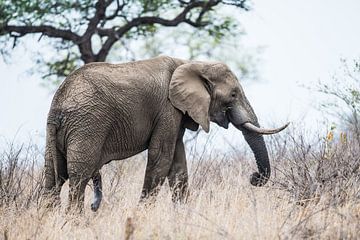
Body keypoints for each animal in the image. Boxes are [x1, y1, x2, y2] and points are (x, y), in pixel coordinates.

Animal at [43, 55, 290, 212]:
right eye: (233, 94)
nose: (253, 177)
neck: (192, 64)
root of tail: (58, 105)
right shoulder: (167, 108)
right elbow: (161, 157)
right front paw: (142, 215)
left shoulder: (177, 112)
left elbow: (178, 165)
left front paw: (184, 216)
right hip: (88, 125)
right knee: (78, 176)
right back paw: (74, 219)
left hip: (60, 131)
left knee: (53, 175)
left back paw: (49, 215)